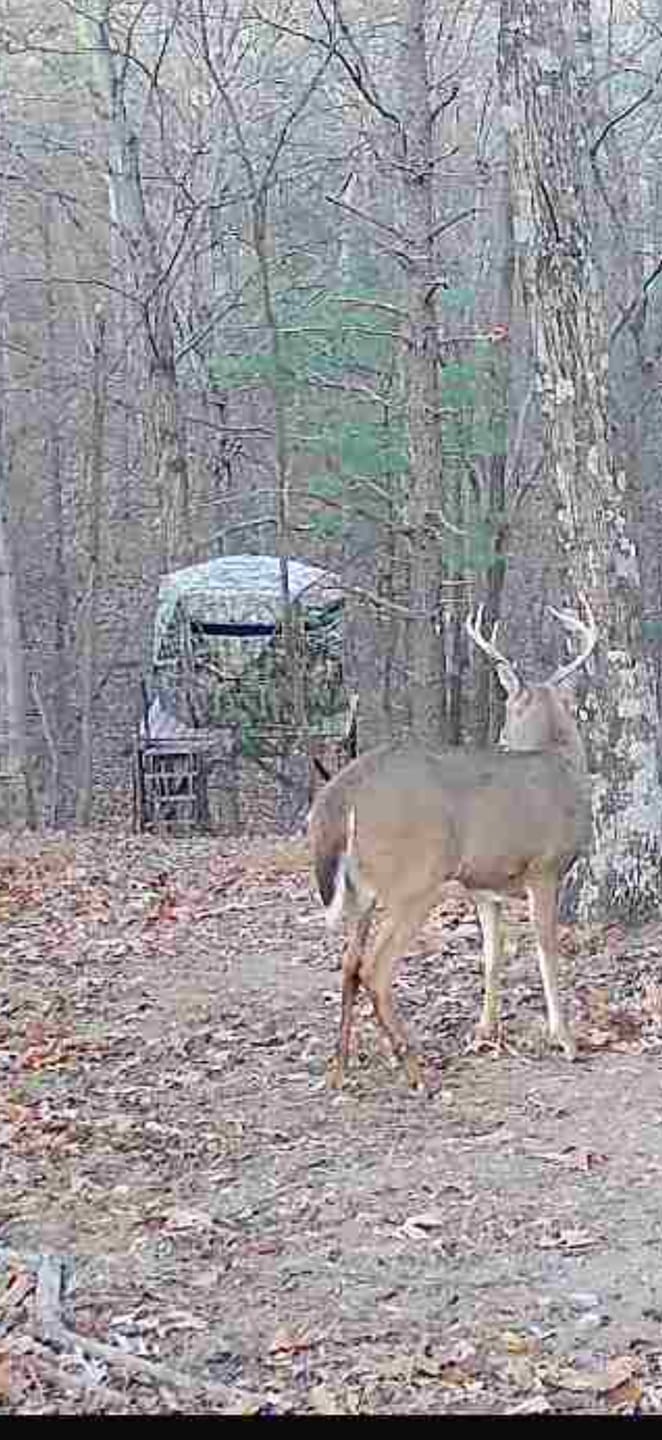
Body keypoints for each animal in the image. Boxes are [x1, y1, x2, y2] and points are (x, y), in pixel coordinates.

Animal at [307, 596, 596, 1089]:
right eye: (511, 706)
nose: (501, 736)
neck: (561, 764)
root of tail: (341, 790)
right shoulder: (544, 868)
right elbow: (546, 948)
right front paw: (566, 1040)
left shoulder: (485, 887)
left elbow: (492, 954)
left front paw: (485, 1032)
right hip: (414, 880)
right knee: (375, 969)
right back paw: (414, 1068)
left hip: (364, 889)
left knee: (348, 965)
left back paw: (341, 1068)